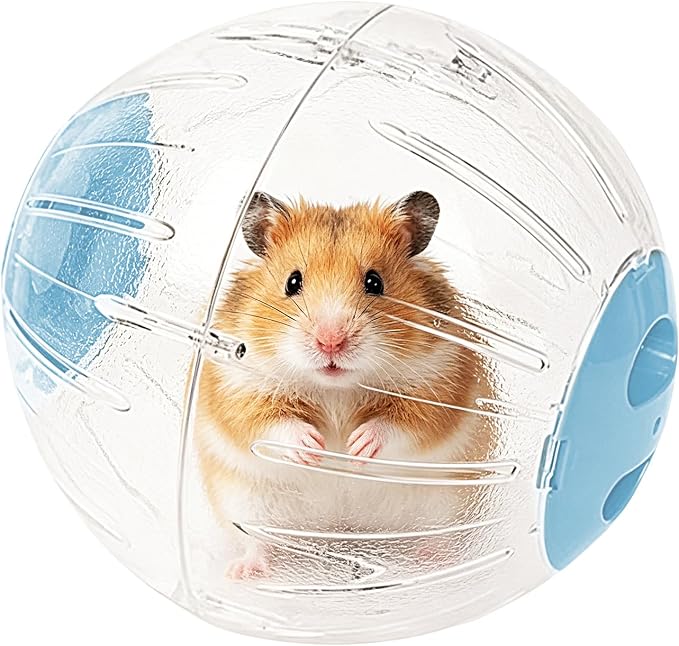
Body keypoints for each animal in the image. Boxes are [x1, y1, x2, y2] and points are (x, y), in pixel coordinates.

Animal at [195, 190, 493, 578]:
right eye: (292, 282)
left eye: (375, 282)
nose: (331, 342)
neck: (336, 389)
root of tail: (342, 526)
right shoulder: (237, 387)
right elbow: (269, 423)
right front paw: (315, 449)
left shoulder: (442, 381)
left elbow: (403, 424)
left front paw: (355, 448)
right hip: (244, 503)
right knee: (257, 541)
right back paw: (242, 572)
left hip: (447, 500)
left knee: (440, 535)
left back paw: (440, 560)